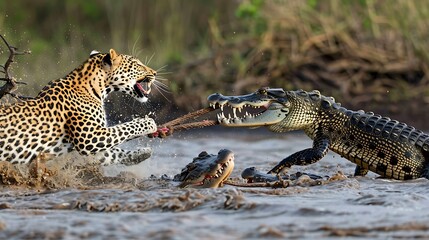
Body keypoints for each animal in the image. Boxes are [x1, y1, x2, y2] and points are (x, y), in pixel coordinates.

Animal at [0, 48, 159, 165]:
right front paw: (148, 123)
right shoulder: (89, 136)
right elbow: (122, 128)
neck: (98, 88)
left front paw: (142, 153)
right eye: (137, 64)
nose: (155, 73)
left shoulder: (93, 146)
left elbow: (114, 153)